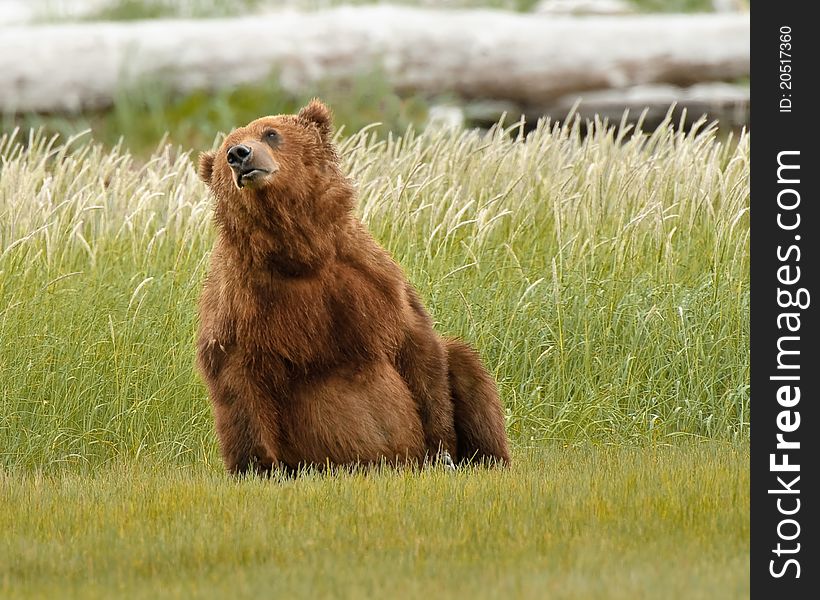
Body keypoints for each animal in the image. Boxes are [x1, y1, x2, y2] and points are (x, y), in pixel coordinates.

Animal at [195, 101, 510, 476]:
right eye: (228, 146)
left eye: (270, 133)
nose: (239, 155)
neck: (301, 252)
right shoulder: (241, 302)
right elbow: (236, 377)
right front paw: (262, 466)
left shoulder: (369, 276)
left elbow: (415, 342)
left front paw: (442, 450)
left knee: (464, 362)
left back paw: (486, 460)